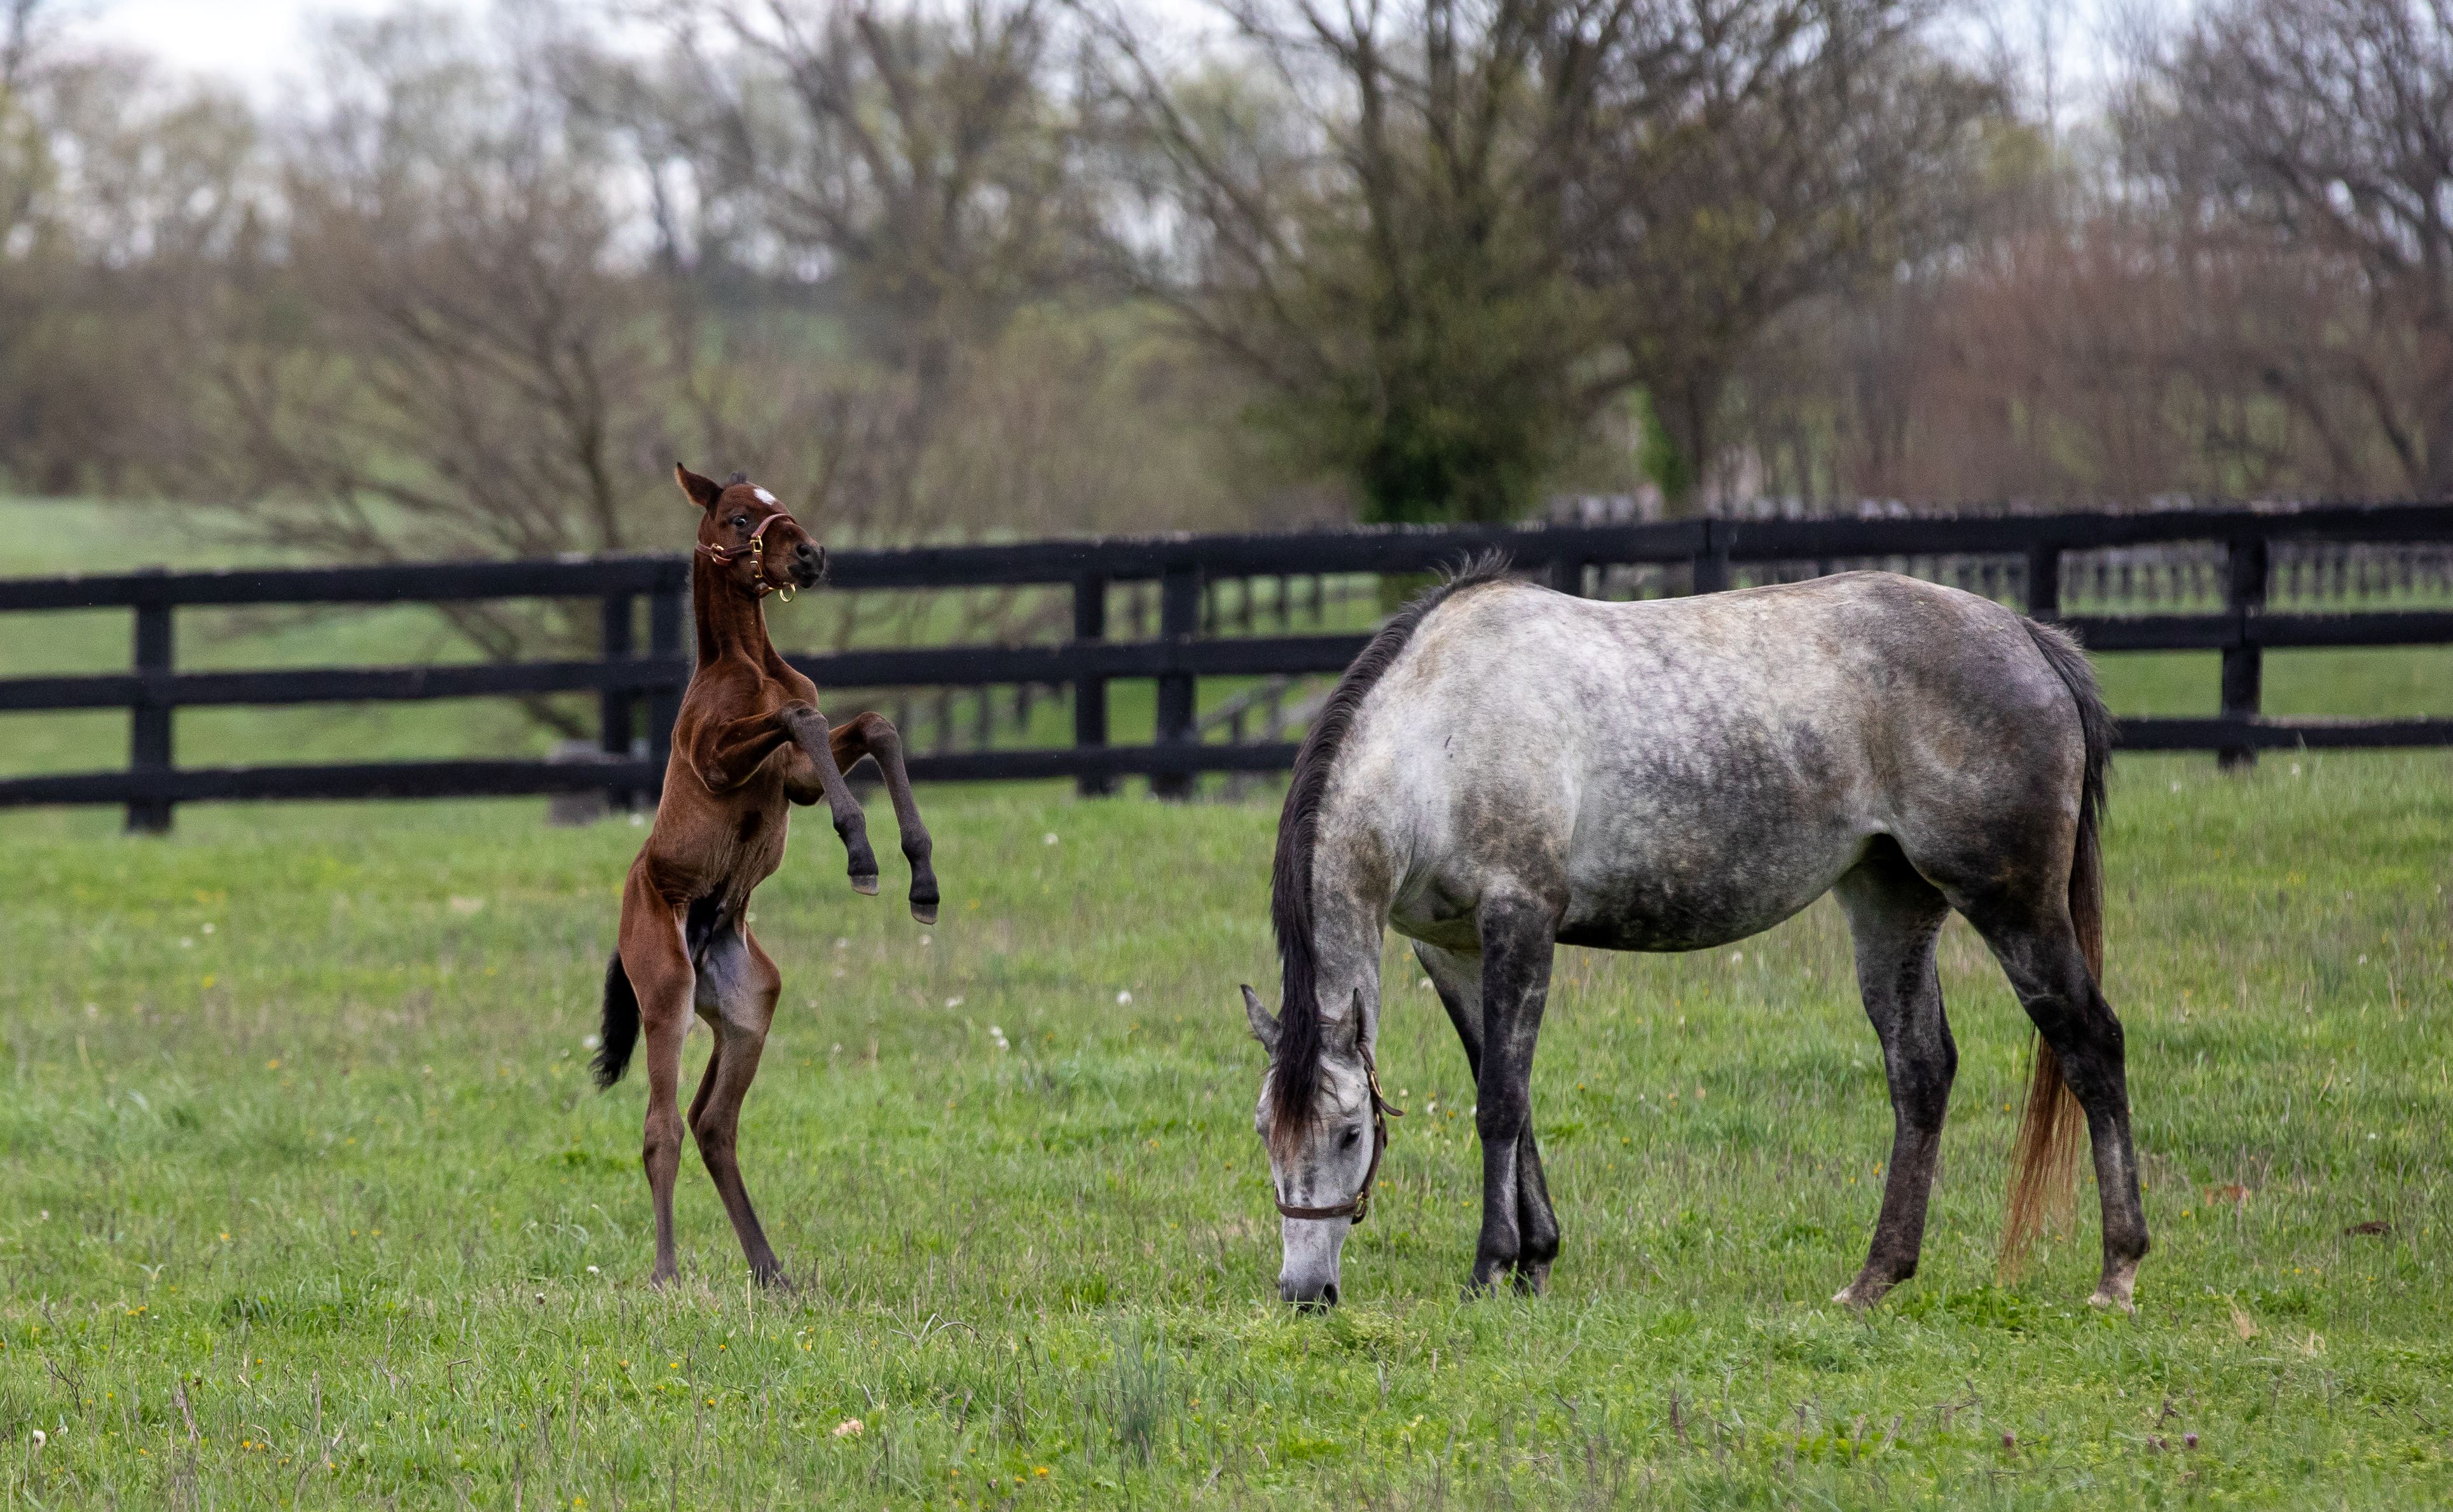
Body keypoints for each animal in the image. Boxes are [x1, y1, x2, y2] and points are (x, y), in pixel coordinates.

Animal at [593, 464, 937, 1286]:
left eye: (782, 504)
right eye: (741, 515)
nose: (811, 555)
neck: (747, 663)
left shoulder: (796, 779)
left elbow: (872, 724)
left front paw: (921, 875)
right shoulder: (721, 758)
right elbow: (797, 719)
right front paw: (861, 854)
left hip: (749, 1007)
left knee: (712, 1122)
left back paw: (770, 1269)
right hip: (668, 995)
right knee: (661, 1127)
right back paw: (666, 1273)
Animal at [1236, 562, 2139, 1305]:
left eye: (1351, 1132)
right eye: (1264, 1132)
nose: (1305, 1292)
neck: (1438, 736)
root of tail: (2028, 636)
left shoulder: (1520, 919)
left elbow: (1498, 1102)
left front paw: (1492, 1266)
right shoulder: (1450, 948)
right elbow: (1511, 1095)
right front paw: (1536, 1260)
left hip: (2011, 903)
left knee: (2090, 1041)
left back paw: (2117, 1272)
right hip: (1891, 900)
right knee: (1920, 1071)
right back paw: (1874, 1279)